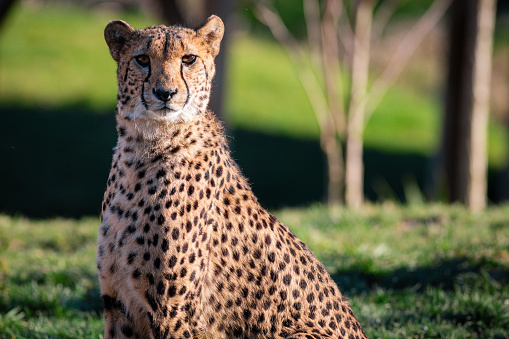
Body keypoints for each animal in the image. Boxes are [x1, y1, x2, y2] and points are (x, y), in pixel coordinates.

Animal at [96, 14, 366, 338]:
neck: (144, 145)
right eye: (142, 59)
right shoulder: (118, 305)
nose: (165, 93)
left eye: (188, 59)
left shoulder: (174, 314)